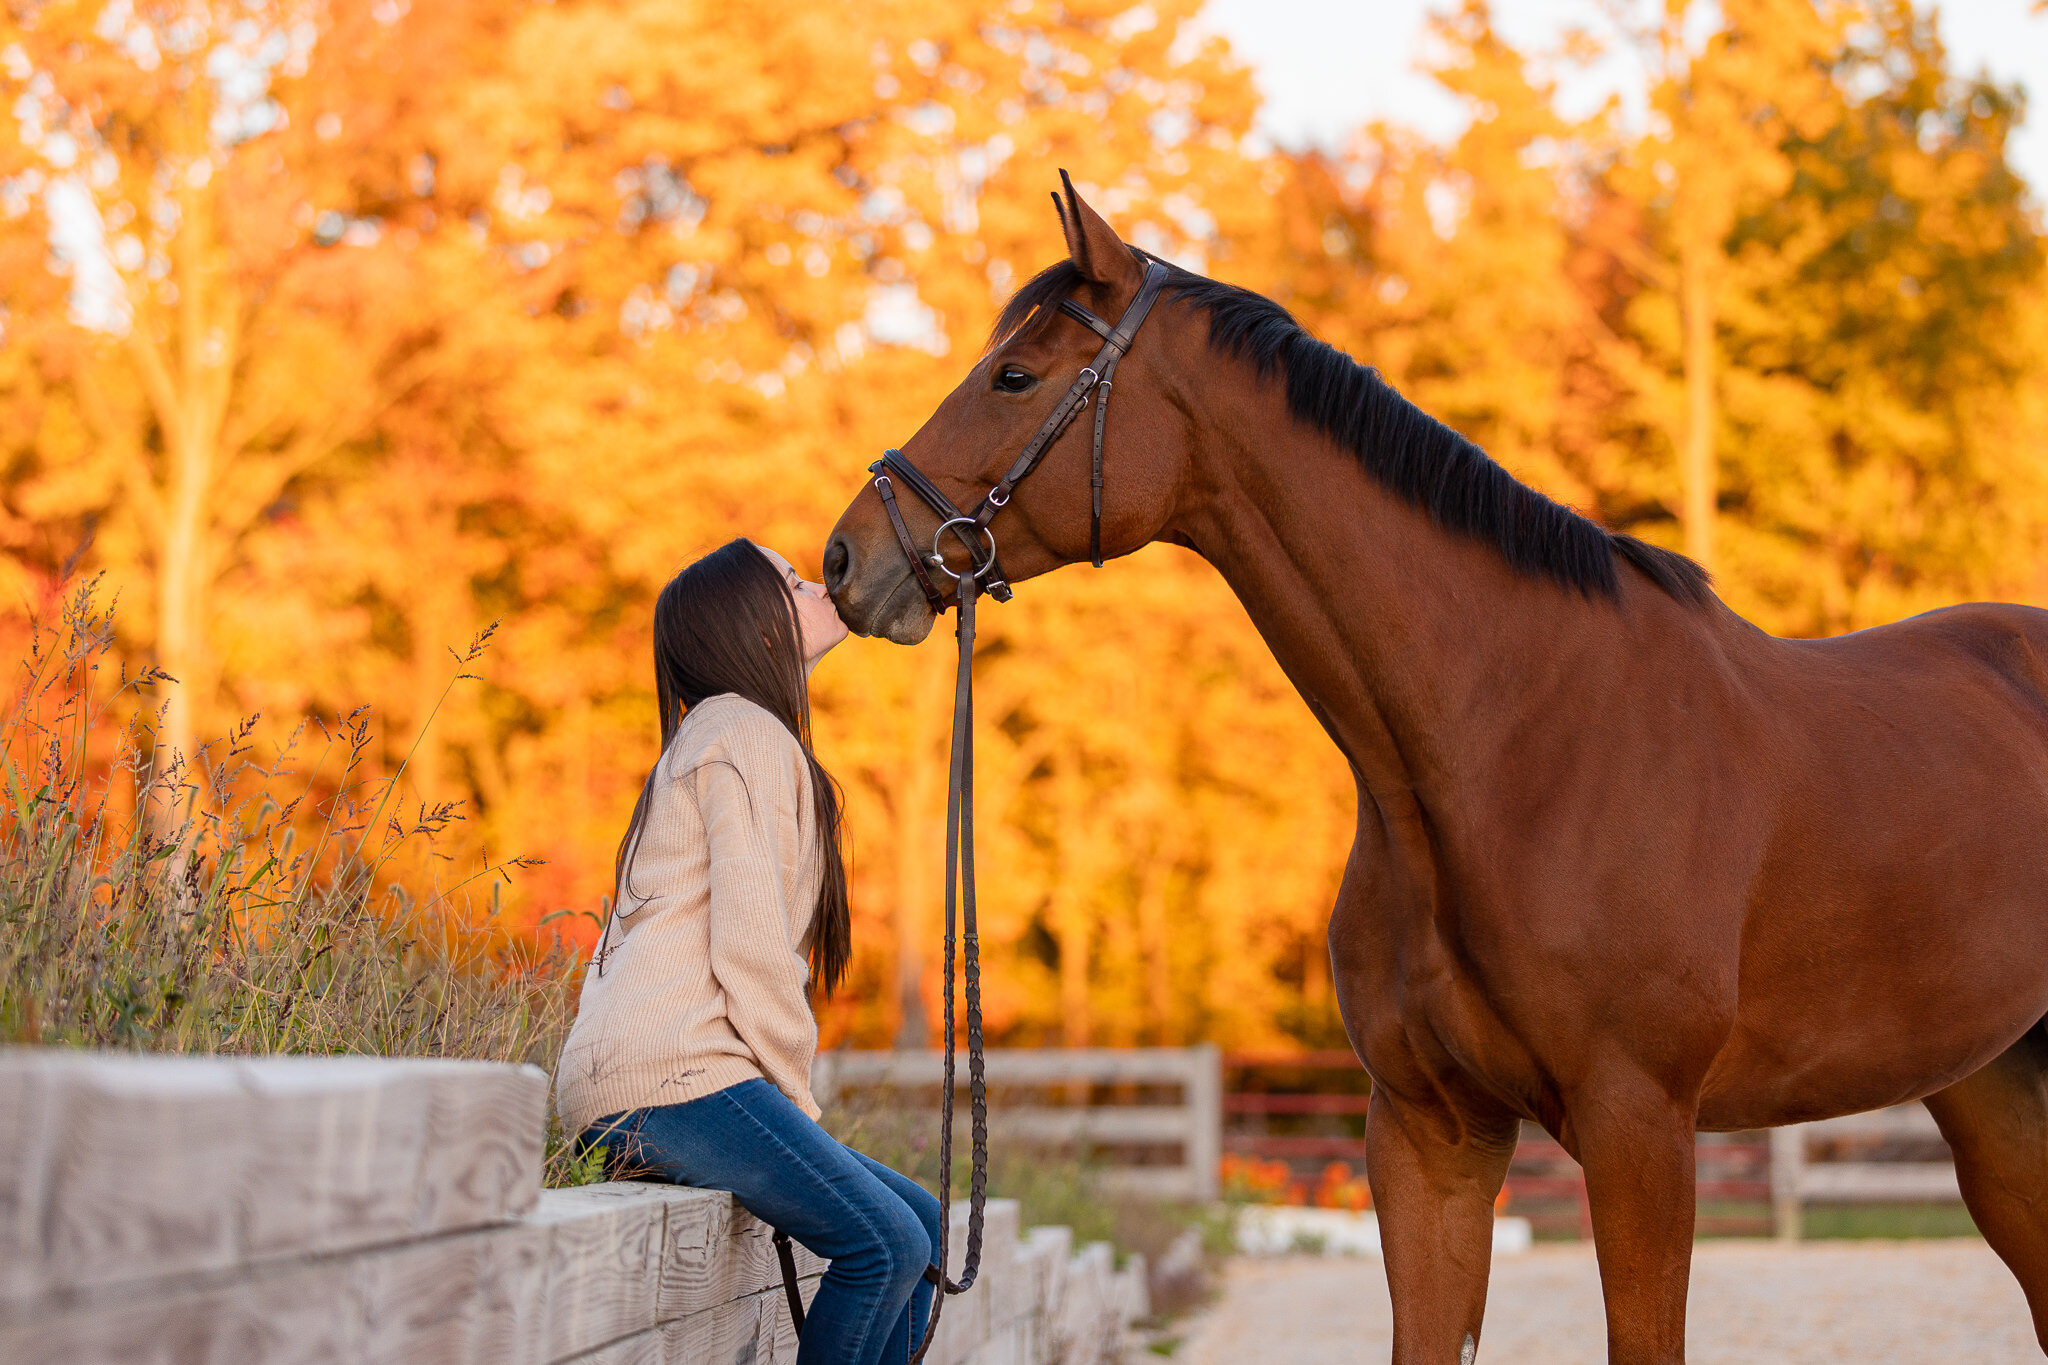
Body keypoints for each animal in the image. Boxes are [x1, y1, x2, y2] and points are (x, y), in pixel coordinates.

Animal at [823, 181, 2048, 1365]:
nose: (846, 558)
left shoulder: (1639, 1128)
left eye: (1014, 375)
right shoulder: (1425, 1131)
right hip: (1994, 1095)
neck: (1505, 747)